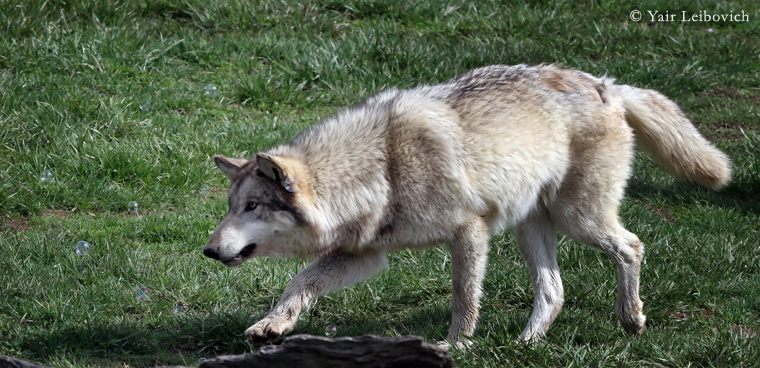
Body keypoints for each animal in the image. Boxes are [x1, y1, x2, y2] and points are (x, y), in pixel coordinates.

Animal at [202, 63, 732, 348]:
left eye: (252, 206)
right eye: (232, 206)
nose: (207, 251)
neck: (382, 166)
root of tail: (607, 85)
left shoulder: (468, 232)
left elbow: (463, 298)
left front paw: (456, 345)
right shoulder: (364, 255)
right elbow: (299, 282)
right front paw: (272, 325)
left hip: (578, 220)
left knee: (632, 246)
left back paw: (631, 319)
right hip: (531, 228)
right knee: (554, 291)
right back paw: (527, 344)